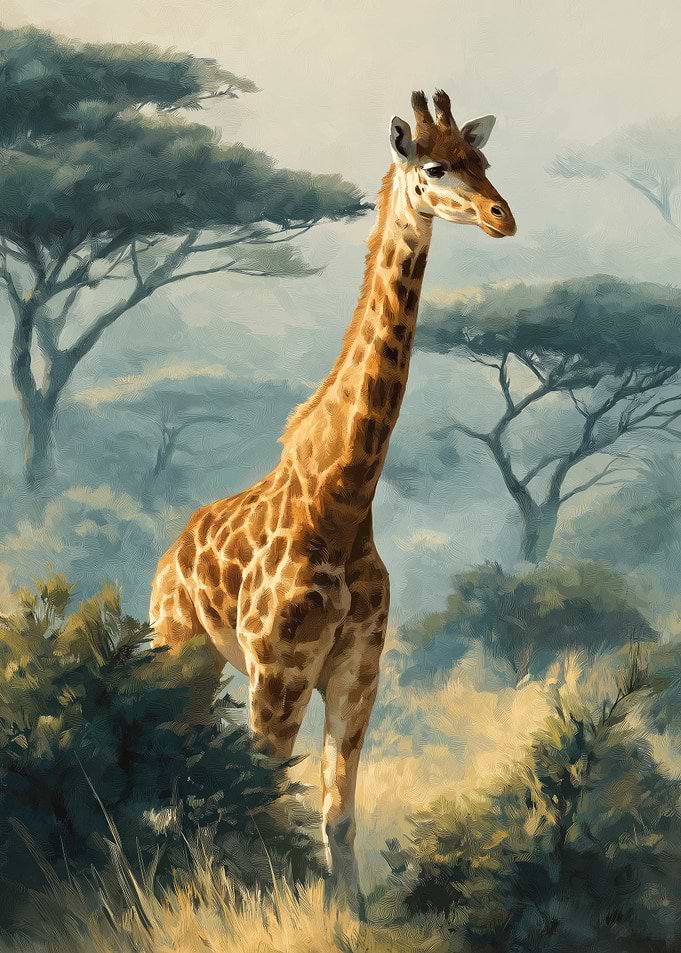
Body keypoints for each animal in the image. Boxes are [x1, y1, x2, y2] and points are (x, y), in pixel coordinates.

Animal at [150, 89, 516, 912]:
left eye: (482, 159)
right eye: (433, 167)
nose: (501, 215)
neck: (343, 500)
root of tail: (168, 555)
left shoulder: (357, 671)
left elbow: (337, 817)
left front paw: (348, 918)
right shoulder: (278, 672)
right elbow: (261, 804)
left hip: (209, 666)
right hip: (179, 648)